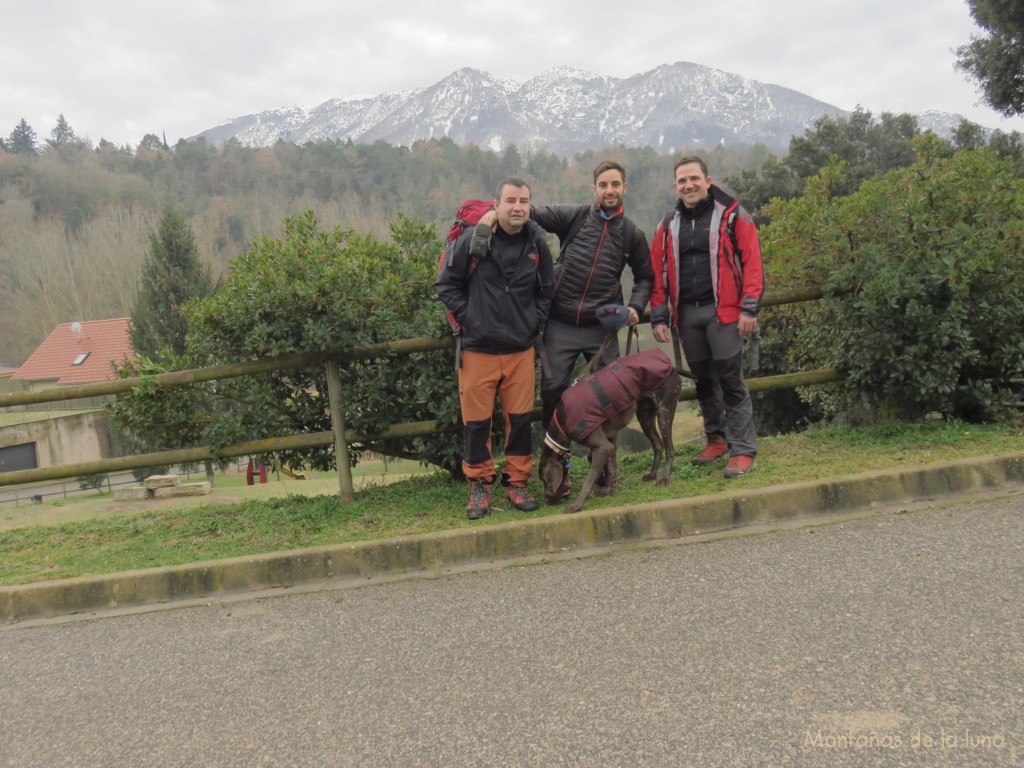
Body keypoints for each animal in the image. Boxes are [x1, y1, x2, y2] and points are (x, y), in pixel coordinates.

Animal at [536, 350, 679, 518]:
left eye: (544, 480)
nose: (547, 498)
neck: (562, 419)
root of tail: (670, 364)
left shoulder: (602, 447)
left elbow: (589, 481)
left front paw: (577, 505)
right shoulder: (610, 442)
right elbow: (611, 468)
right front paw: (610, 490)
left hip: (664, 413)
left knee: (669, 450)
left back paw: (664, 478)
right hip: (644, 416)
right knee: (658, 446)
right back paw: (652, 474)